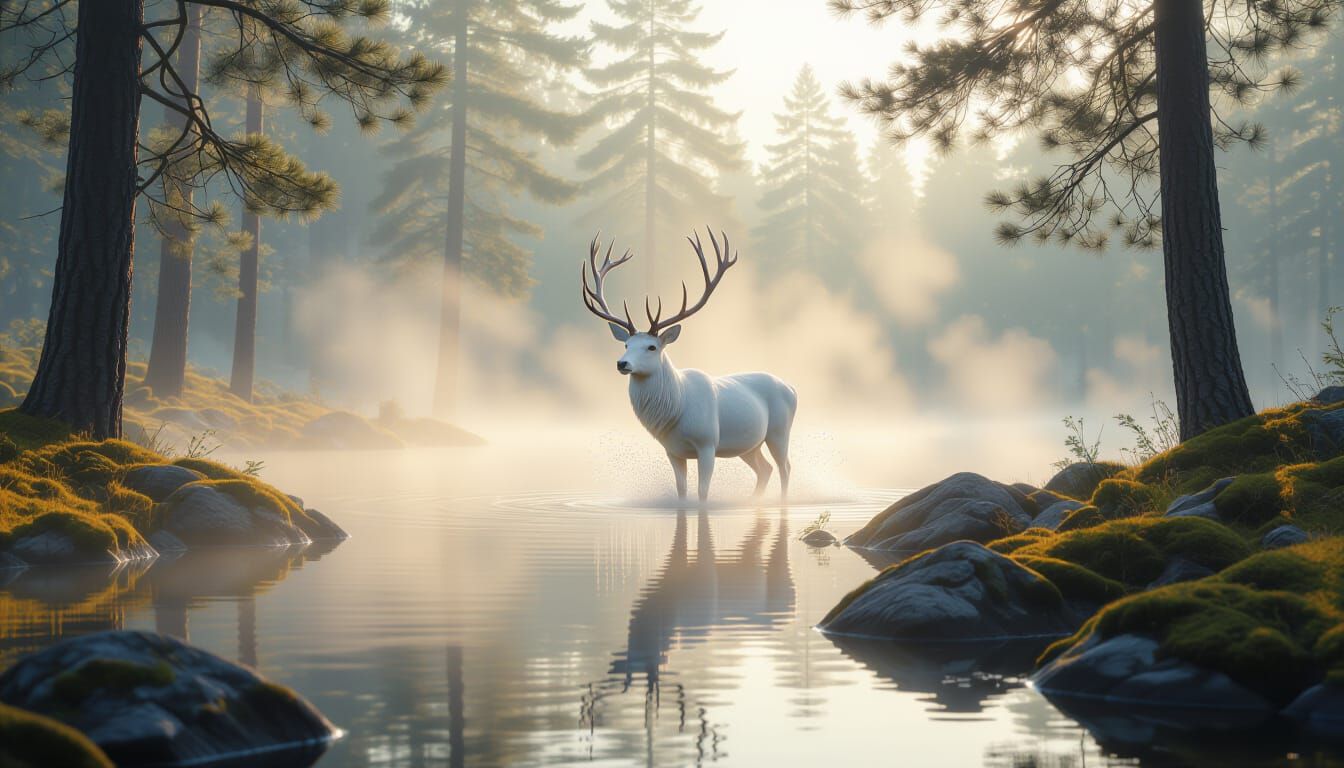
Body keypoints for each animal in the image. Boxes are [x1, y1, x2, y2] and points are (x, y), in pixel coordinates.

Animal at [580, 229, 798, 503]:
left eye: (651, 347)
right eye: (627, 344)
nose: (622, 363)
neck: (676, 408)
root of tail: (791, 387)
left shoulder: (707, 443)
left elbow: (702, 492)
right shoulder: (672, 451)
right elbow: (682, 492)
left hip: (779, 431)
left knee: (785, 467)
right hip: (749, 445)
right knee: (765, 469)